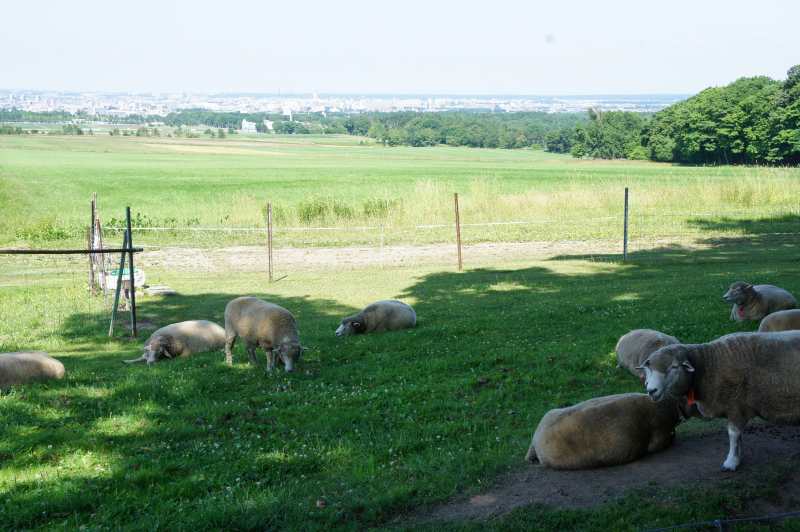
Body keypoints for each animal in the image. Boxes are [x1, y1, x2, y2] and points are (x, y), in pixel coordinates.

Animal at [640, 330, 800, 472]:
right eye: (648, 370)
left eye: (674, 367)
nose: (651, 390)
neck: (708, 365)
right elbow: (738, 437)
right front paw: (737, 458)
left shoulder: (736, 404)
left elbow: (733, 434)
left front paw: (731, 462)